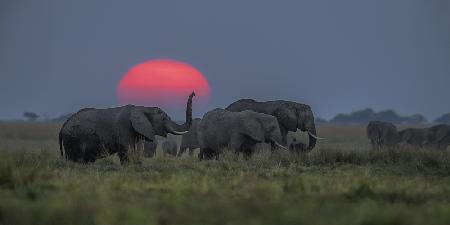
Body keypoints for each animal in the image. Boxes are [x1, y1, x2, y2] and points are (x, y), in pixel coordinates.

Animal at [59, 91, 194, 163]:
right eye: (164, 119)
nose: (193, 93)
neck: (142, 108)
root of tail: (63, 126)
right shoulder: (124, 129)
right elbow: (127, 150)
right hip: (72, 139)